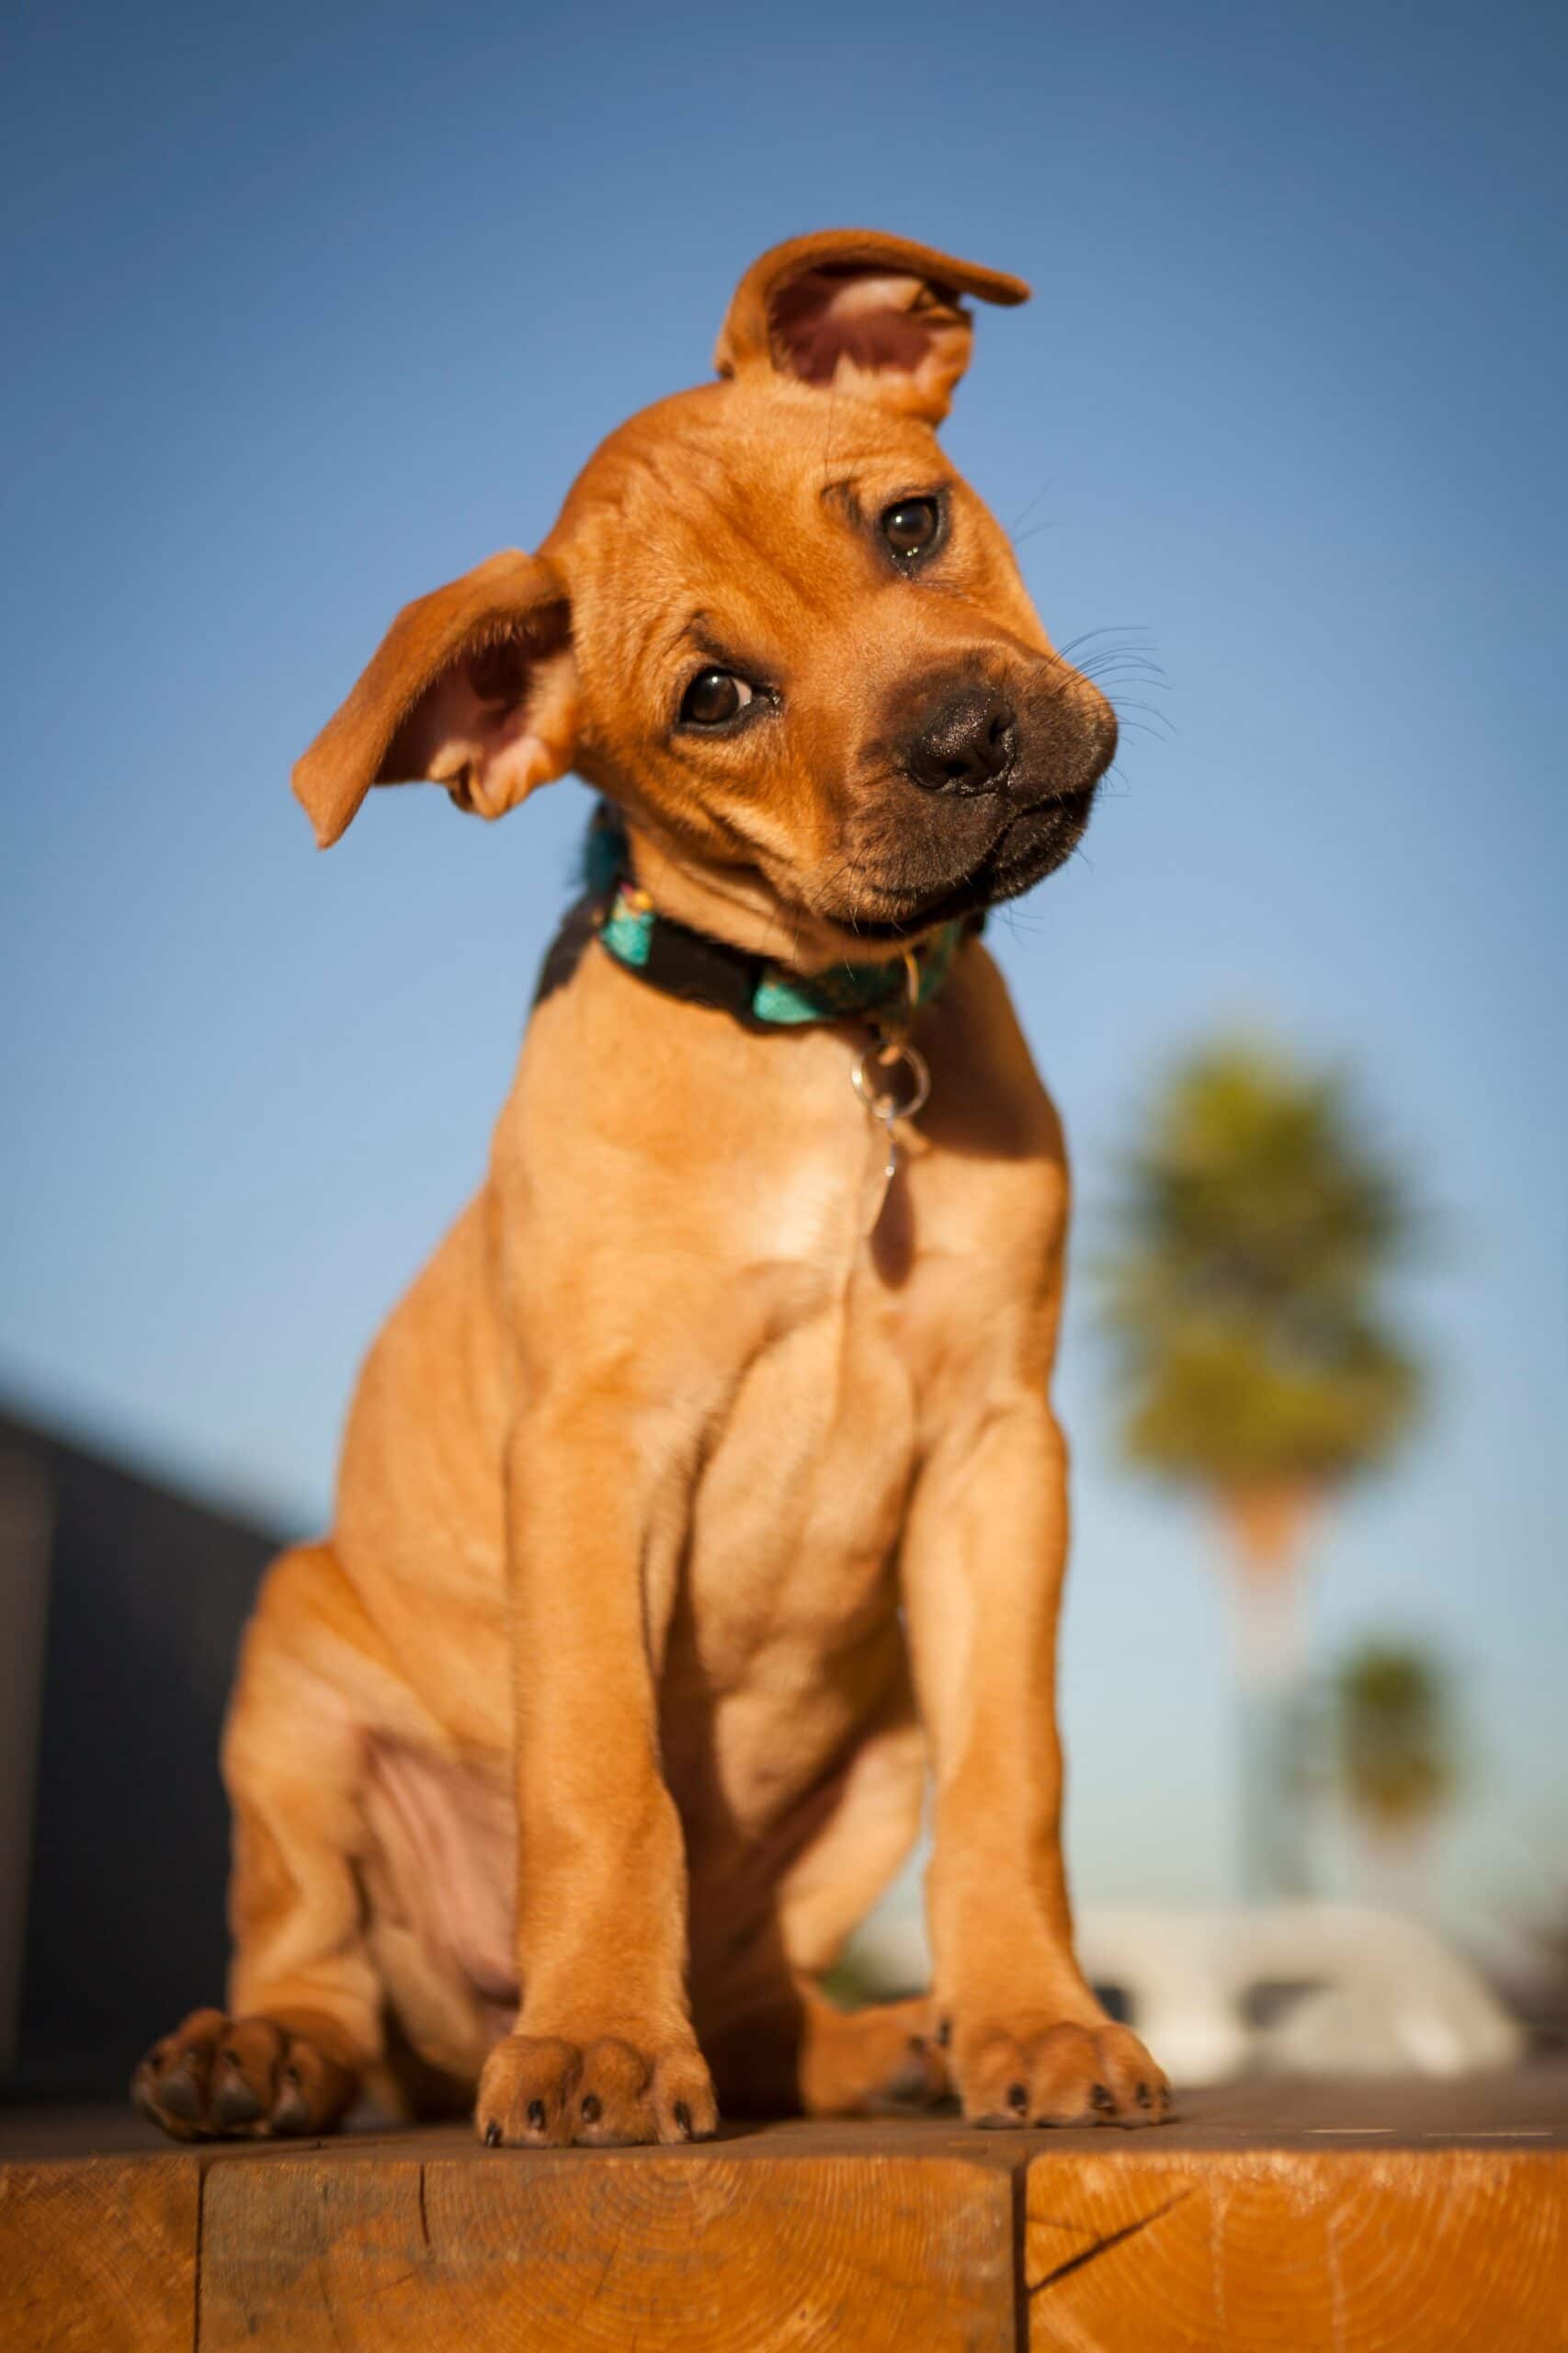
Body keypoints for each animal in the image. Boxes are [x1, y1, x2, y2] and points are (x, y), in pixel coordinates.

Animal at [134, 229, 1158, 2145]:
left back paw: (889, 2044)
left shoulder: (1001, 1452)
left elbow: (1018, 1781)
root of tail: (445, 2015)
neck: (823, 1031)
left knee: (757, 2000)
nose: (969, 738)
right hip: (290, 1669)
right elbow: (606, 1783)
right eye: (714, 700)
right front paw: (602, 2040)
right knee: (309, 1946)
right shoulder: (594, 1450)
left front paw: (1036, 2023)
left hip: (871, 1744)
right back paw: (271, 2055)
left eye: (910, 523)